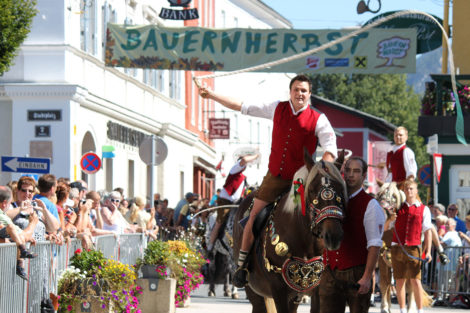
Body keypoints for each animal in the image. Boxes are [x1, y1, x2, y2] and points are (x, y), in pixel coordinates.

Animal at [233, 152, 346, 312]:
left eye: (341, 189)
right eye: (311, 190)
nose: (333, 236)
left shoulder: (313, 289)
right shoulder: (278, 289)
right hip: (254, 289)